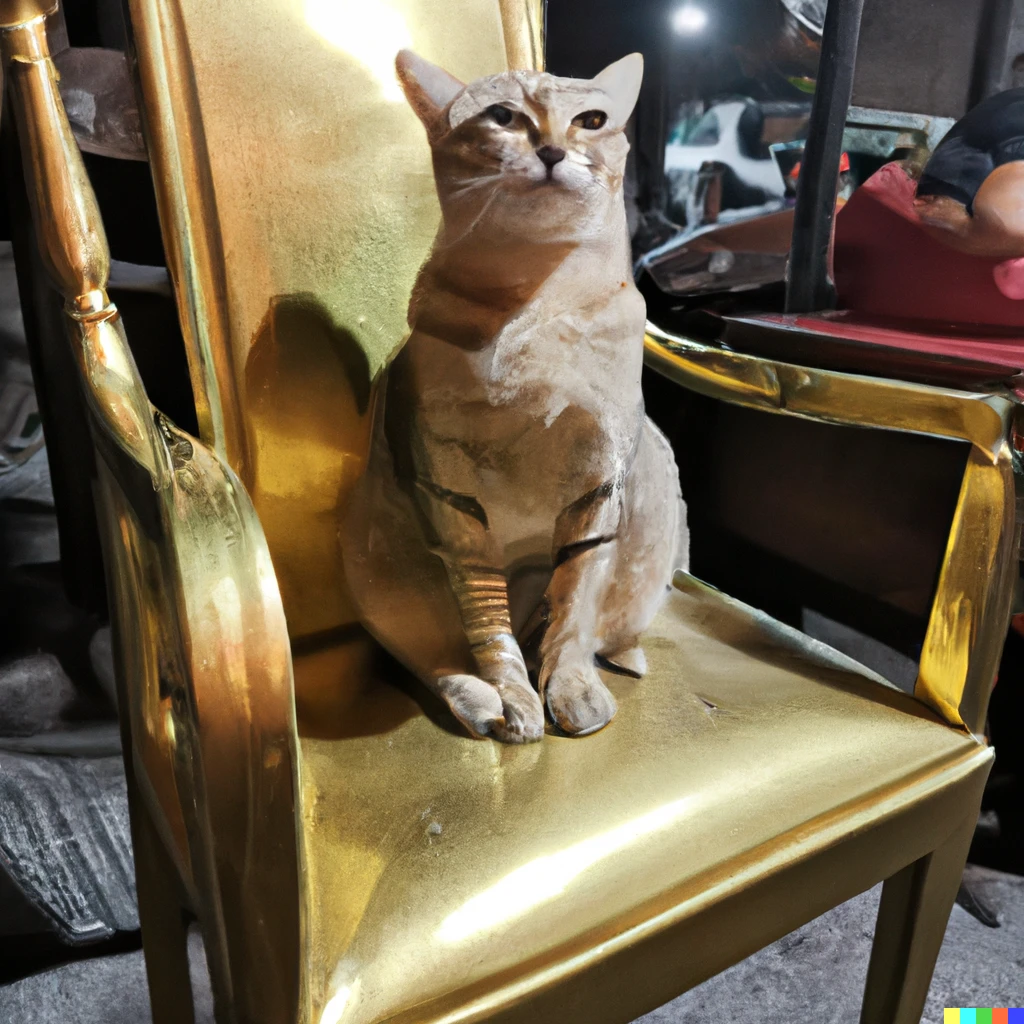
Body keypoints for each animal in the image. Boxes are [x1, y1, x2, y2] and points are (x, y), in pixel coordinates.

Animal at [342, 49, 688, 745]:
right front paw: (515, 699)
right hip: (373, 555)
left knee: (600, 626)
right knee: (438, 658)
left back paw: (616, 658)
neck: (541, 306)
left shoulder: (600, 485)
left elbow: (577, 604)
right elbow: (487, 626)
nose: (553, 149)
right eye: (503, 117)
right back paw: (484, 701)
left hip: (656, 479)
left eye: (591, 120)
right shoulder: (451, 492)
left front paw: (572, 687)